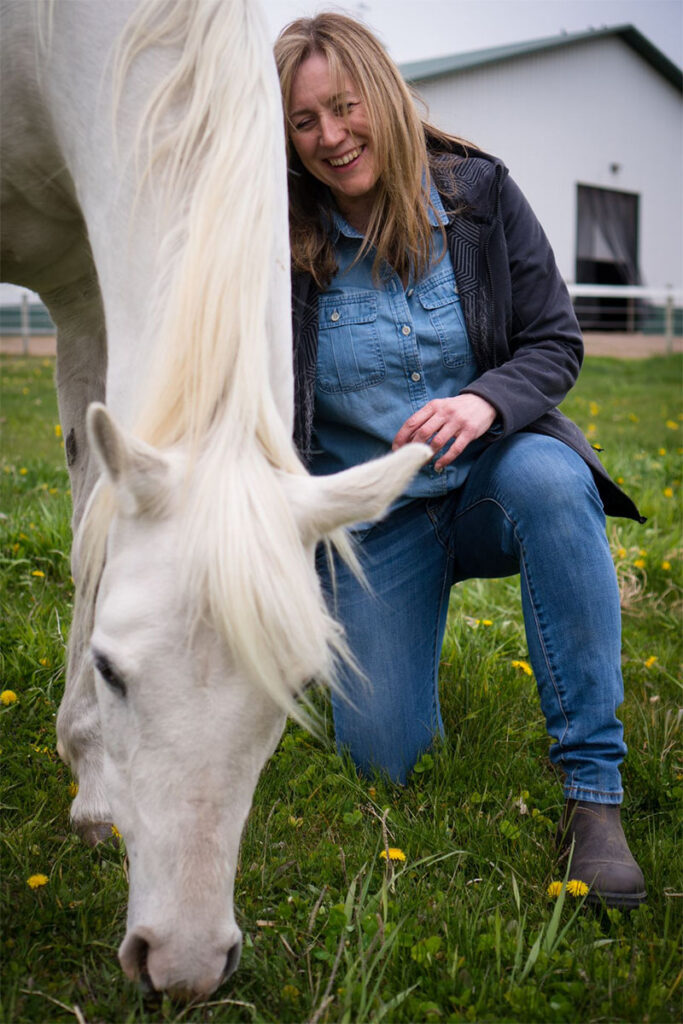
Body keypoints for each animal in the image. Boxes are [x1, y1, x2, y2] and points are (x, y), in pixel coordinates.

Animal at [0, 0, 430, 1000]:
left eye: (300, 684)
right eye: (113, 670)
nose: (186, 966)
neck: (47, 41)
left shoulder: (87, 279)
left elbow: (93, 523)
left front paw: (89, 787)